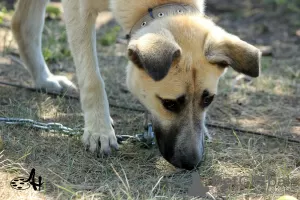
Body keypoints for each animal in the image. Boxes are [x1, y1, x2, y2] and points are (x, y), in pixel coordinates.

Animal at [11, 0, 260, 170]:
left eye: (208, 99)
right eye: (169, 104)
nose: (191, 163)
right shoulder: (78, 11)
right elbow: (93, 79)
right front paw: (99, 129)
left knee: (22, 24)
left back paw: (44, 79)